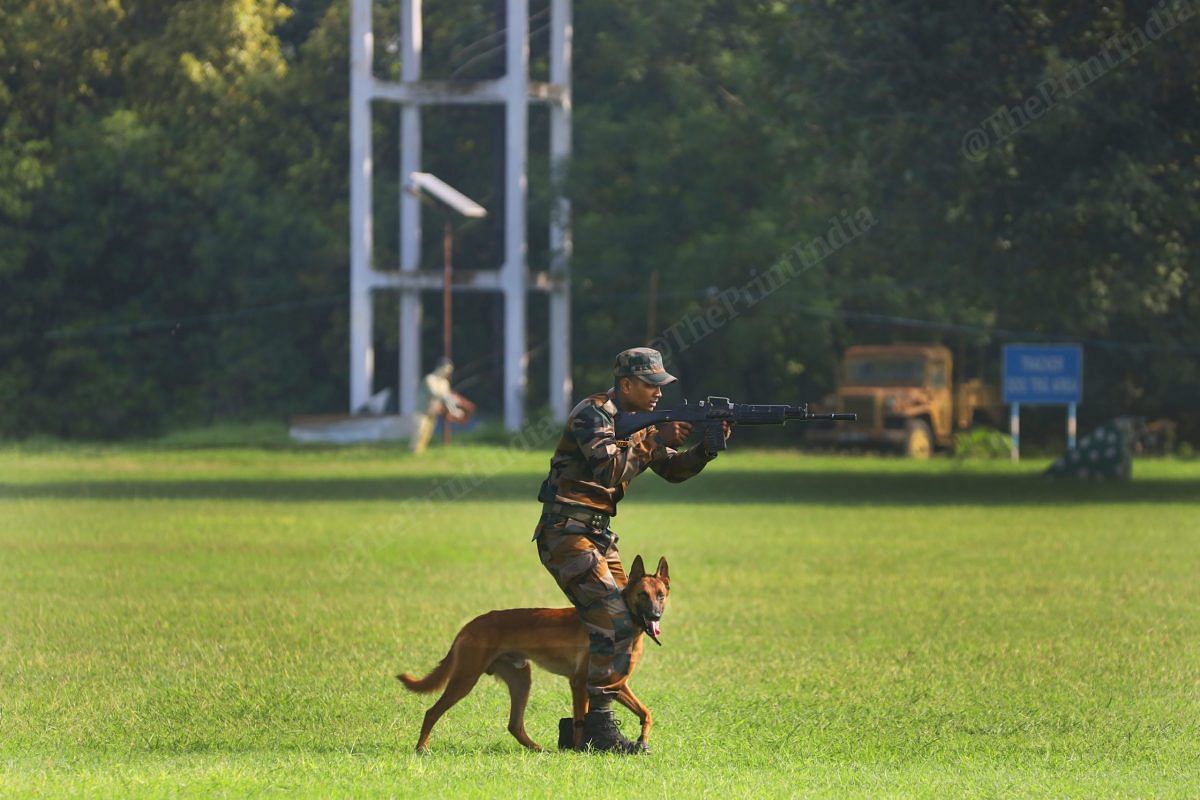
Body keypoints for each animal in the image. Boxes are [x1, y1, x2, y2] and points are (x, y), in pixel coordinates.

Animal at [398, 554, 672, 753]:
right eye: (642, 595)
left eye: (660, 595)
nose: (656, 616)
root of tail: (471, 624)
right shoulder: (579, 683)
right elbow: (580, 721)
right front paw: (580, 750)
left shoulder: (615, 684)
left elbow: (646, 713)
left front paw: (642, 739)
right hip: (465, 680)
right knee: (431, 712)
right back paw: (421, 748)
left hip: (521, 680)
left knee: (514, 725)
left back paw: (538, 749)